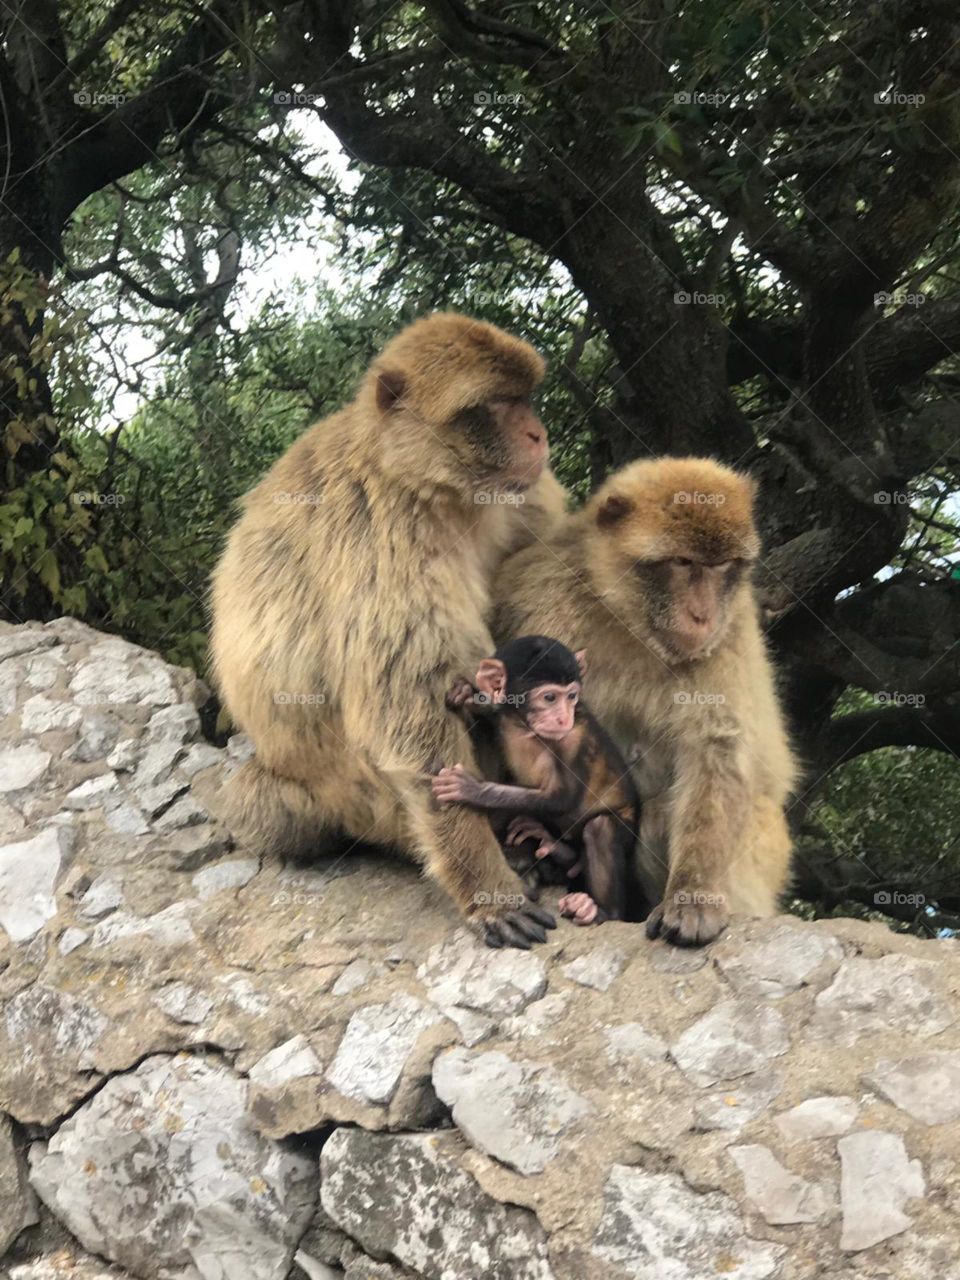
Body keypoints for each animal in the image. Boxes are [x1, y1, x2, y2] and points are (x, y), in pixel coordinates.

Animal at [209, 313, 570, 950]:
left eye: (524, 397)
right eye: (497, 404)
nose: (537, 434)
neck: (436, 488)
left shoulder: (520, 497)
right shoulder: (381, 531)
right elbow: (412, 710)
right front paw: (485, 885)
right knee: (260, 809)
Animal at [433, 635, 643, 926]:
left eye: (572, 696)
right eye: (550, 697)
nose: (563, 717)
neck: (523, 727)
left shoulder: (572, 740)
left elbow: (560, 799)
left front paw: (470, 789)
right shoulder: (506, 714)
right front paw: (467, 694)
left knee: (599, 828)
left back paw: (597, 910)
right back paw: (557, 850)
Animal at [493, 456, 798, 948]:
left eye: (723, 566)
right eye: (682, 562)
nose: (703, 615)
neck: (627, 617)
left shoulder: (729, 634)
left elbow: (716, 748)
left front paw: (693, 897)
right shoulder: (536, 588)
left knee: (661, 811)